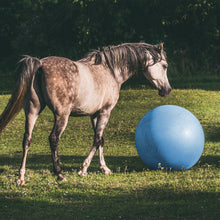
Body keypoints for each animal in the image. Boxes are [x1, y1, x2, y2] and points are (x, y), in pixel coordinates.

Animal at [0, 42, 172, 185]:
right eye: (164, 66)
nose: (167, 90)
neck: (111, 71)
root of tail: (40, 64)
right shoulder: (105, 112)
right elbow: (97, 140)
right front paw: (83, 169)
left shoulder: (94, 115)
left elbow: (100, 139)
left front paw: (104, 168)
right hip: (61, 116)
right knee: (53, 139)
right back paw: (60, 174)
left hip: (33, 110)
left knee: (27, 139)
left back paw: (21, 177)